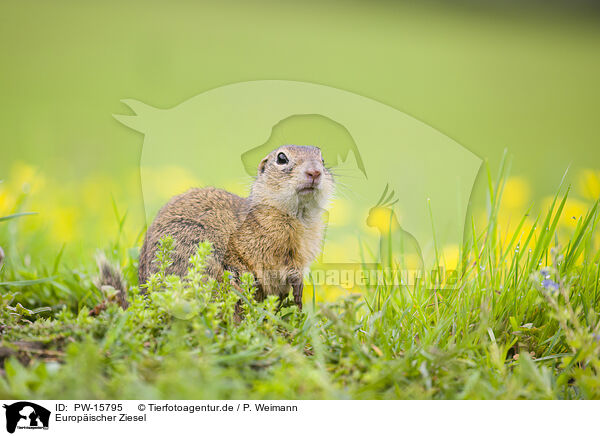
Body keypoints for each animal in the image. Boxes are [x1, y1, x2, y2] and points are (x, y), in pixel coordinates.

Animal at [137, 145, 338, 308]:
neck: (299, 215)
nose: (314, 172)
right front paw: (297, 292)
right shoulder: (265, 248)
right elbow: (279, 267)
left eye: (322, 160)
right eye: (282, 158)